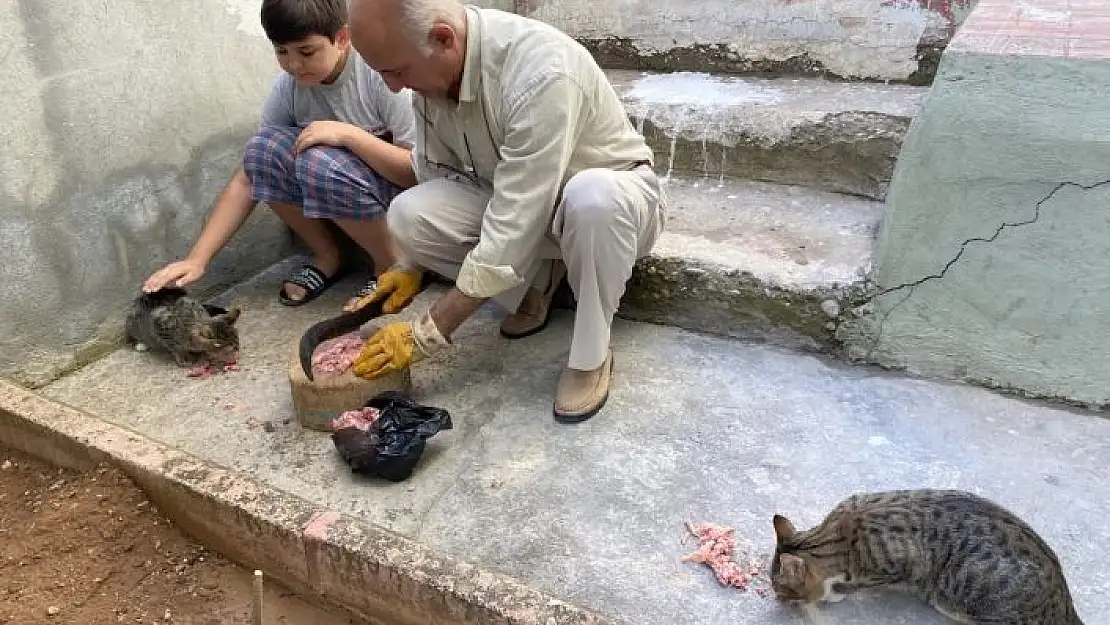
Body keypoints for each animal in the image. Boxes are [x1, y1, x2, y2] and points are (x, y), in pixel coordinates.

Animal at [772, 490, 1083, 621]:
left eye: (782, 590)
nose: (778, 600)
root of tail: (1064, 599)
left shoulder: (902, 564)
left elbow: (856, 583)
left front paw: (835, 592)